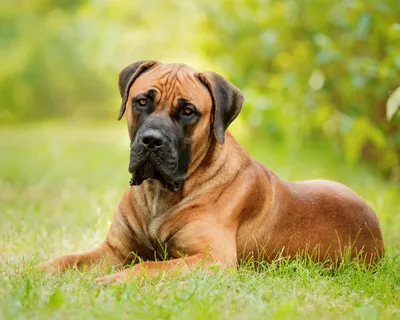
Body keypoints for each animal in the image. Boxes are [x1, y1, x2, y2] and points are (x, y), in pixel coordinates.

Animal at [38, 61, 384, 284]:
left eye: (188, 111)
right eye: (142, 102)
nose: (151, 141)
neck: (159, 192)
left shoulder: (211, 259)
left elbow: (148, 267)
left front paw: (110, 282)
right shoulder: (114, 250)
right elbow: (65, 259)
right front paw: (31, 270)